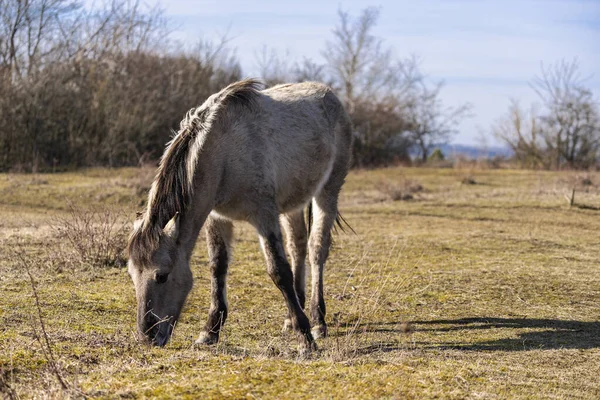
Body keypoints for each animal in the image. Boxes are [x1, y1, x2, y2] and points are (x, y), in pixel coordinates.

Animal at [126, 79, 352, 354]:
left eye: (161, 276)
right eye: (132, 275)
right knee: (297, 246)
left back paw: (318, 321)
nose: (147, 337)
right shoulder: (217, 218)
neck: (223, 152)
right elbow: (218, 265)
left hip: (328, 191)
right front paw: (210, 330)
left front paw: (305, 338)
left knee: (317, 249)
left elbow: (279, 271)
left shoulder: (264, 215)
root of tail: (329, 95)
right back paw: (293, 315)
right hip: (293, 203)